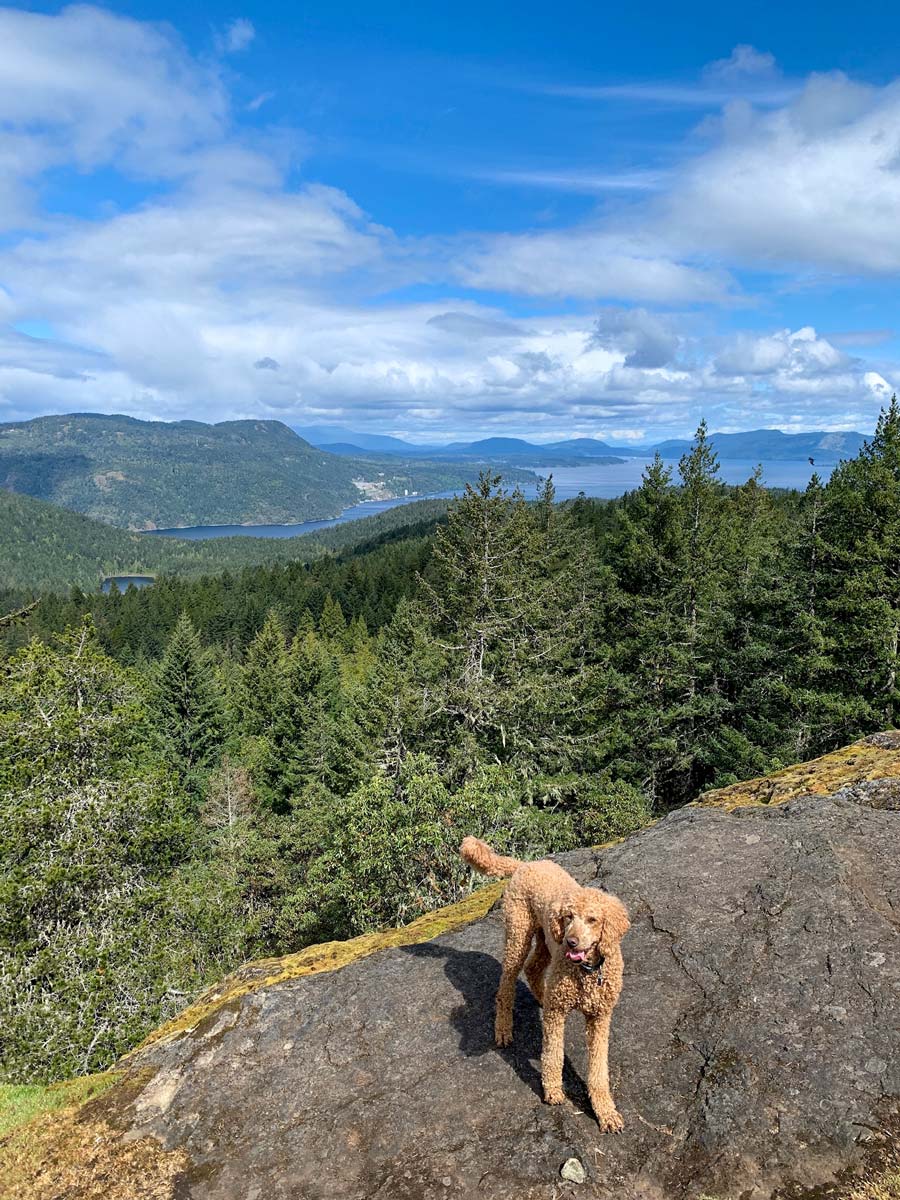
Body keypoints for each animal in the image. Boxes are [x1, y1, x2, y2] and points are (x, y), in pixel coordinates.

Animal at [460, 840, 628, 1128]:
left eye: (592, 919)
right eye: (569, 916)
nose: (571, 942)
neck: (586, 971)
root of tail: (527, 864)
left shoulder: (600, 1017)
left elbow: (598, 1069)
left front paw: (605, 1112)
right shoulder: (556, 1014)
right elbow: (553, 1054)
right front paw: (553, 1091)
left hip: (546, 939)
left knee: (533, 968)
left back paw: (540, 995)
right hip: (519, 934)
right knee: (506, 984)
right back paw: (503, 1028)